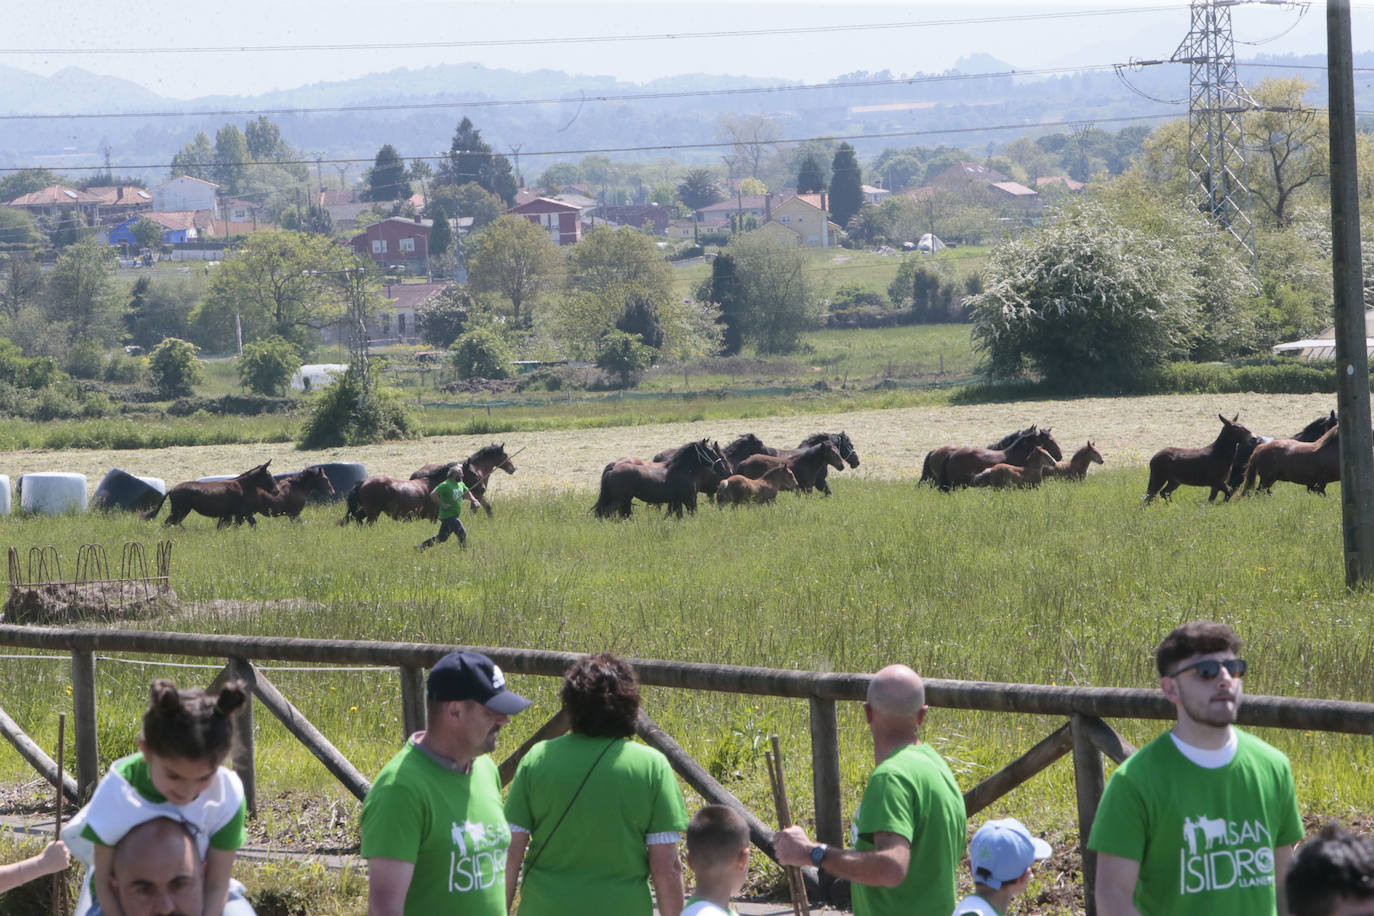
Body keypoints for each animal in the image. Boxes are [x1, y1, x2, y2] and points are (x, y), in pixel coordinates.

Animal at [143, 466, 280, 530]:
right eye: (268, 475)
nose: (277, 491)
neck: (242, 487)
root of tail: (172, 489)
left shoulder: (230, 514)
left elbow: (224, 527)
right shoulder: (241, 513)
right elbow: (251, 523)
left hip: (181, 511)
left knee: (173, 523)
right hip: (179, 510)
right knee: (168, 523)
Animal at [590, 439, 730, 519]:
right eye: (711, 451)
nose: (726, 470)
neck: (683, 470)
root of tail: (613, 468)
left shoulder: (677, 501)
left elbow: (679, 516)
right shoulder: (690, 499)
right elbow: (692, 514)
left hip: (623, 500)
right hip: (619, 499)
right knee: (605, 513)